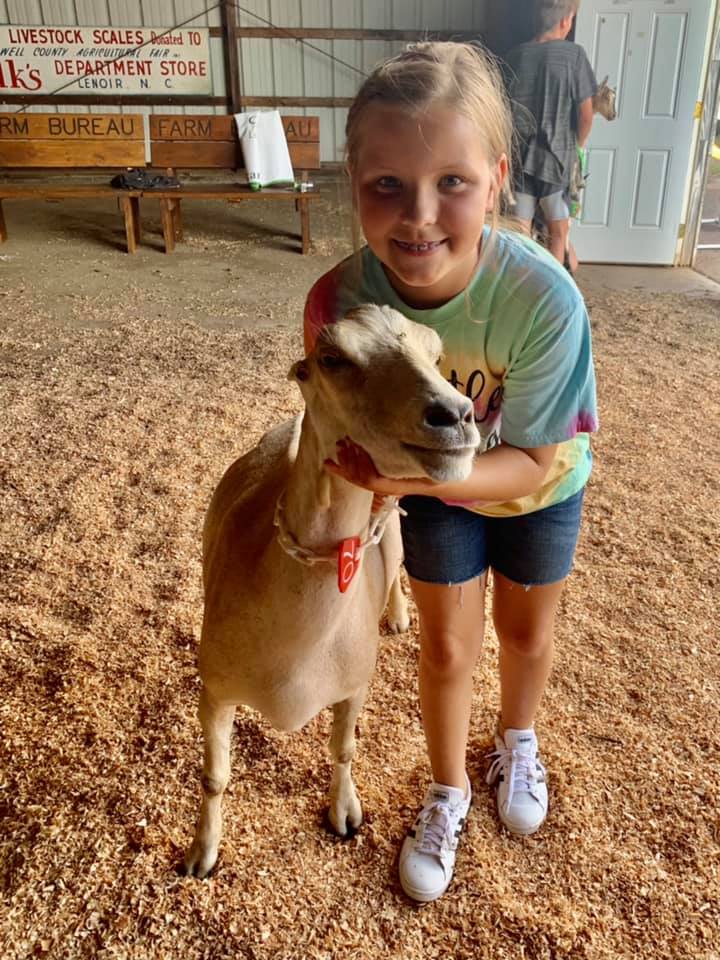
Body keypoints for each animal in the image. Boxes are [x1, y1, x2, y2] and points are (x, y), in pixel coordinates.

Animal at [183, 306, 480, 876]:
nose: (456, 415)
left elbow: (343, 750)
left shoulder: (354, 684)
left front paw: (345, 815)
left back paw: (398, 615)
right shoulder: (215, 687)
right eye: (332, 358)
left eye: (437, 356)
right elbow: (214, 776)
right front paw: (202, 853)